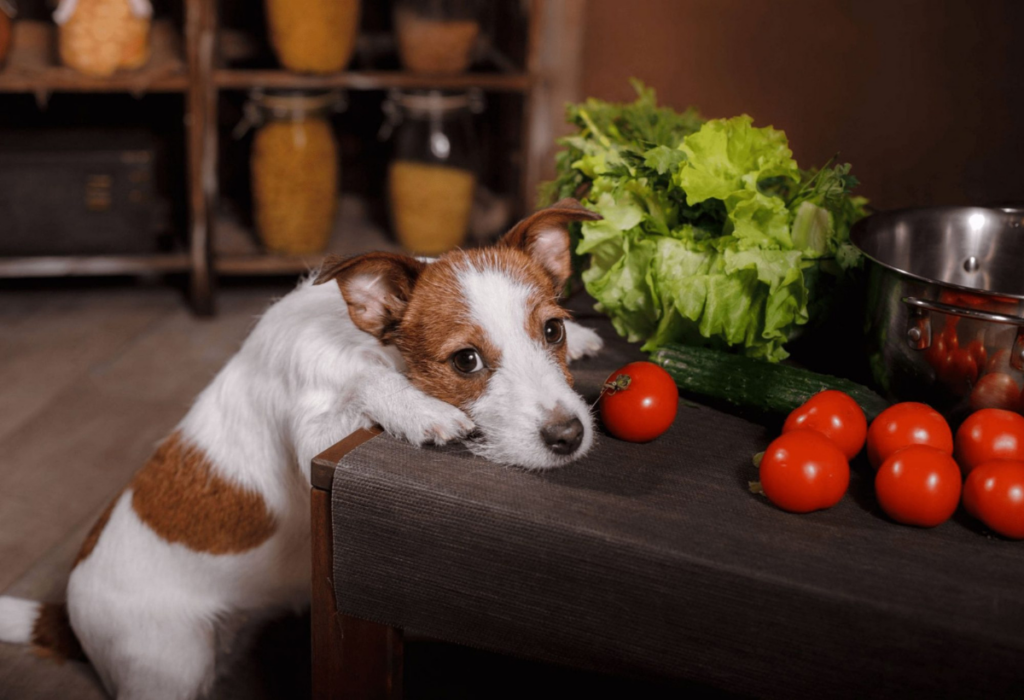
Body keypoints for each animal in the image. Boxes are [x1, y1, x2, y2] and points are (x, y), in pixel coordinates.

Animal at [0, 198, 602, 700]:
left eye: (552, 330)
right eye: (466, 361)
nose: (569, 436)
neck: (363, 341)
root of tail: (67, 609)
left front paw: (587, 340)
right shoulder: (316, 437)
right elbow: (363, 385)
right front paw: (416, 409)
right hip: (169, 663)